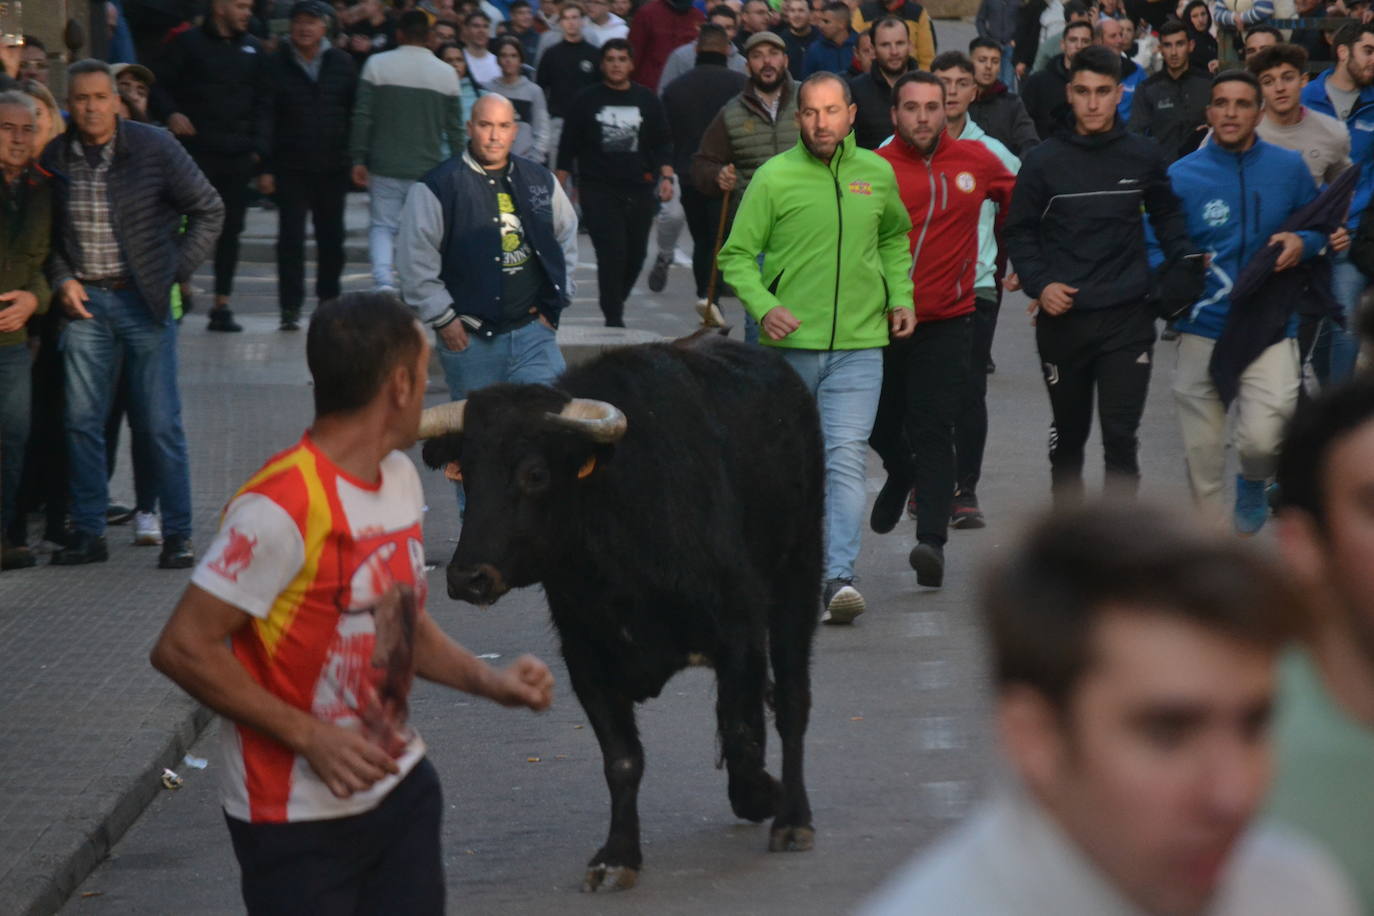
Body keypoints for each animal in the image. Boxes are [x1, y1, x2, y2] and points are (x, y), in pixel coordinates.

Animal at [417, 333, 818, 889]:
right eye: (467, 475)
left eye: (534, 473)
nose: (467, 577)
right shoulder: (586, 657)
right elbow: (623, 760)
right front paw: (618, 855)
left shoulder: (740, 628)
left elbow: (739, 732)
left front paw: (764, 794)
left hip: (797, 578)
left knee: (793, 702)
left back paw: (793, 820)